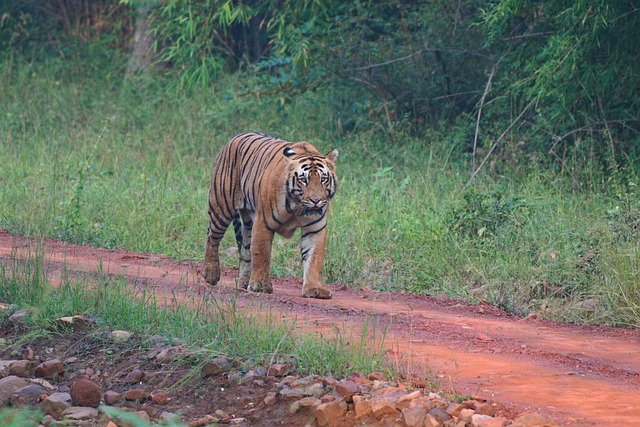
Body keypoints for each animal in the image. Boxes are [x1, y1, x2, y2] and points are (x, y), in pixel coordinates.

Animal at [204, 132, 340, 300]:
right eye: (303, 180)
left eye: (323, 179)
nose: (316, 200)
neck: (298, 207)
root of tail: (234, 138)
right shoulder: (263, 222)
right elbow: (261, 253)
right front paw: (260, 285)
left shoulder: (315, 228)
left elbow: (314, 257)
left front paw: (314, 289)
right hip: (221, 206)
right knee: (212, 237)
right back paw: (210, 274)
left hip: (247, 221)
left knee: (245, 250)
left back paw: (244, 282)